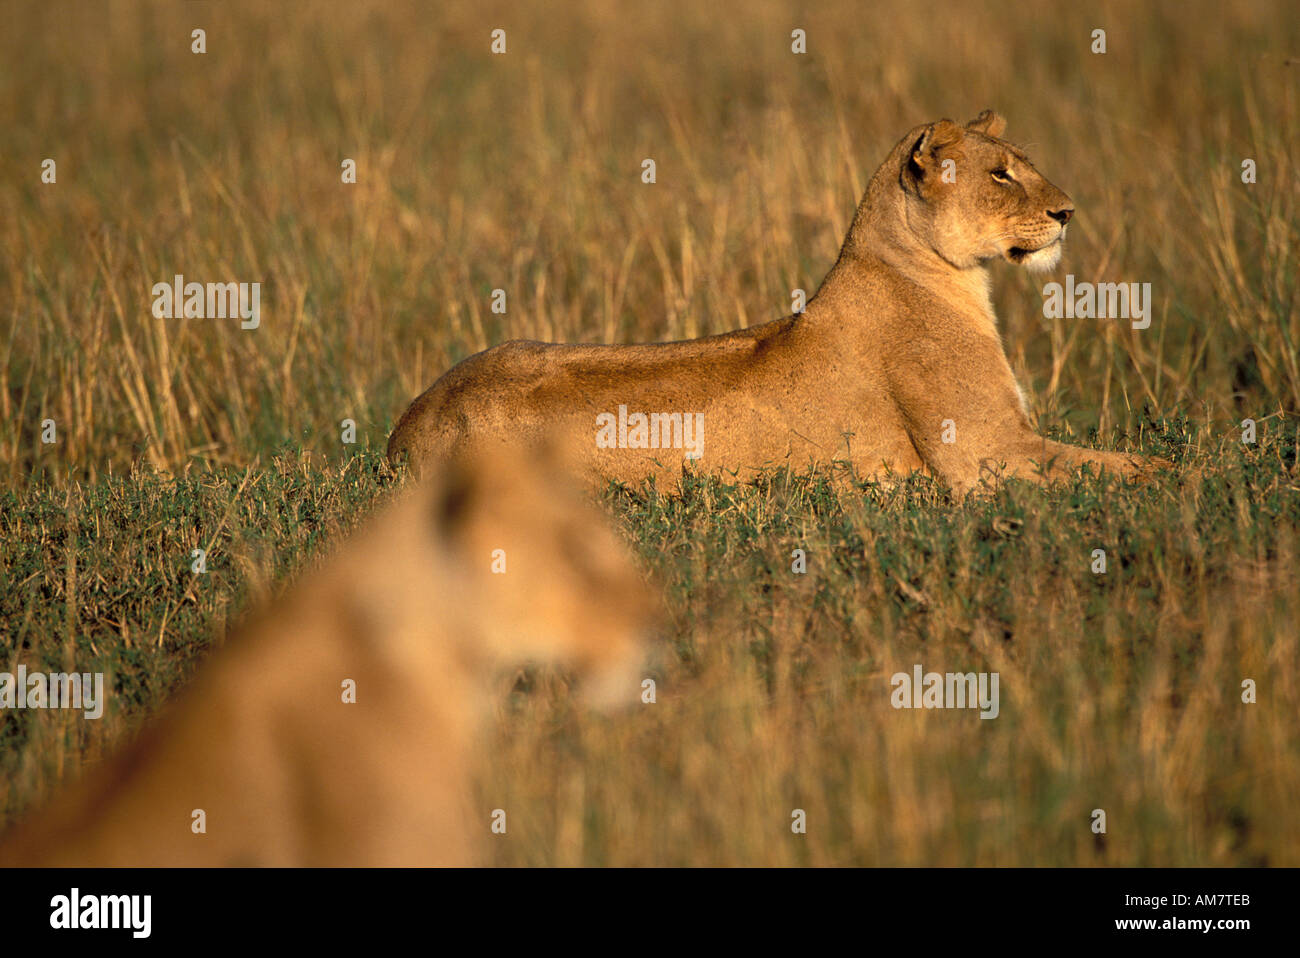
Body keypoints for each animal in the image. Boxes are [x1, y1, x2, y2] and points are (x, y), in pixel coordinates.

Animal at [387, 111, 1164, 496]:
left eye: (1024, 165)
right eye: (1001, 175)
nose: (1068, 213)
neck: (951, 278)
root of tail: (407, 432)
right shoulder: (985, 456)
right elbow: (1124, 466)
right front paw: (1186, 481)